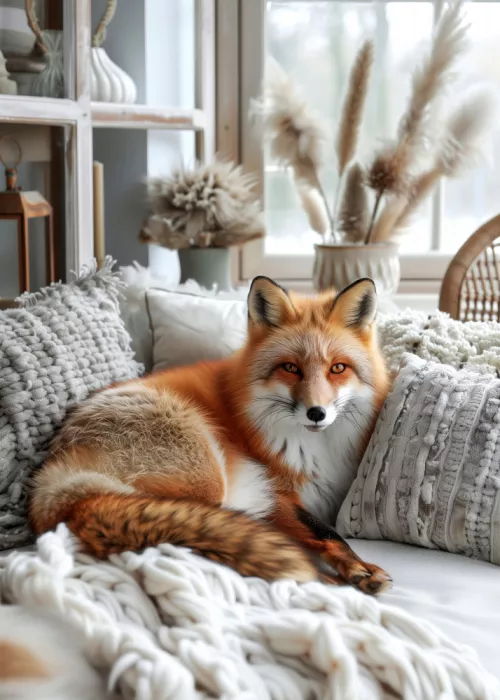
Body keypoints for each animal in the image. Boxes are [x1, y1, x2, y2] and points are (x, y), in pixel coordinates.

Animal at [30, 276, 392, 594]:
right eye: (291, 368)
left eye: (338, 368)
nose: (317, 413)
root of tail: (58, 479)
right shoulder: (276, 492)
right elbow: (327, 532)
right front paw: (357, 568)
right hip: (209, 481)